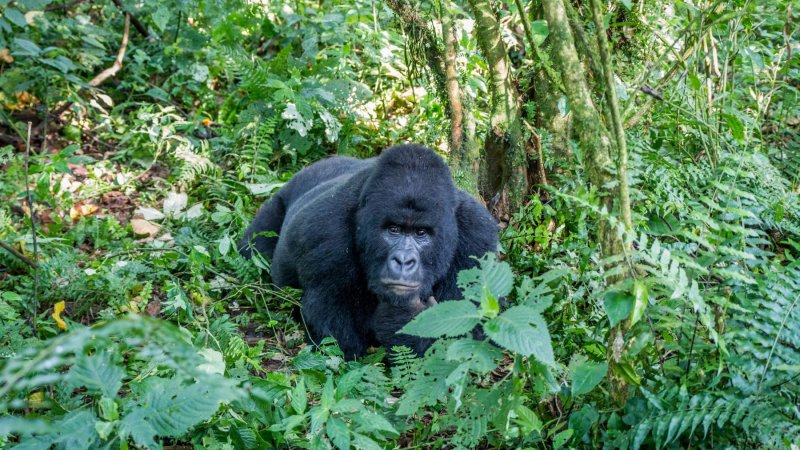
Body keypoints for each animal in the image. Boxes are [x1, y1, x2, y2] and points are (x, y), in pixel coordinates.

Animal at [241, 144, 496, 358]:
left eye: (421, 233)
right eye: (393, 229)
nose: (403, 261)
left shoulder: (478, 236)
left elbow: (471, 338)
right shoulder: (325, 230)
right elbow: (336, 338)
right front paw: (403, 315)